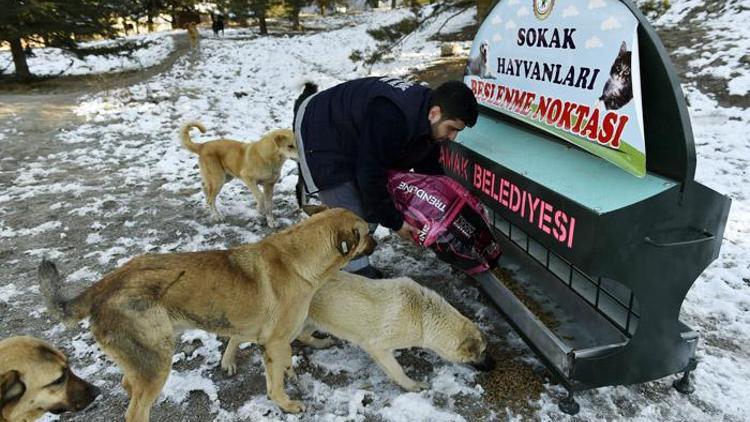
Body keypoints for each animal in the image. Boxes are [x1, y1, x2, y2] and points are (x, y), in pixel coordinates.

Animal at [36, 209, 374, 422]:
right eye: (367, 232)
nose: (379, 237)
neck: (299, 258)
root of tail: (102, 286)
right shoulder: (275, 342)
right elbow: (276, 381)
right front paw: (287, 404)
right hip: (158, 362)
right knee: (135, 411)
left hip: (148, 357)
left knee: (128, 385)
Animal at [222, 272, 494, 390]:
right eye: (482, 352)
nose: (495, 366)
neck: (425, 314)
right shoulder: (378, 347)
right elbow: (397, 370)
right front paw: (411, 386)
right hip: (284, 327)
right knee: (238, 335)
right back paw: (228, 361)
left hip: (308, 321)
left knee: (305, 335)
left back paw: (321, 343)